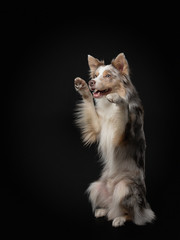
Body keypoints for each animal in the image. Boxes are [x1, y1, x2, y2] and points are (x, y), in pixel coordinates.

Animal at [74, 53, 155, 227]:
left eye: (108, 76)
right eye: (95, 76)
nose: (91, 82)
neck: (109, 107)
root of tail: (145, 206)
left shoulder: (122, 136)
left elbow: (123, 106)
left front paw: (117, 98)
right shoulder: (98, 126)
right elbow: (90, 104)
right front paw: (83, 87)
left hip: (124, 187)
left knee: (133, 214)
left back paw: (119, 218)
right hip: (96, 186)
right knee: (113, 206)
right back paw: (104, 210)